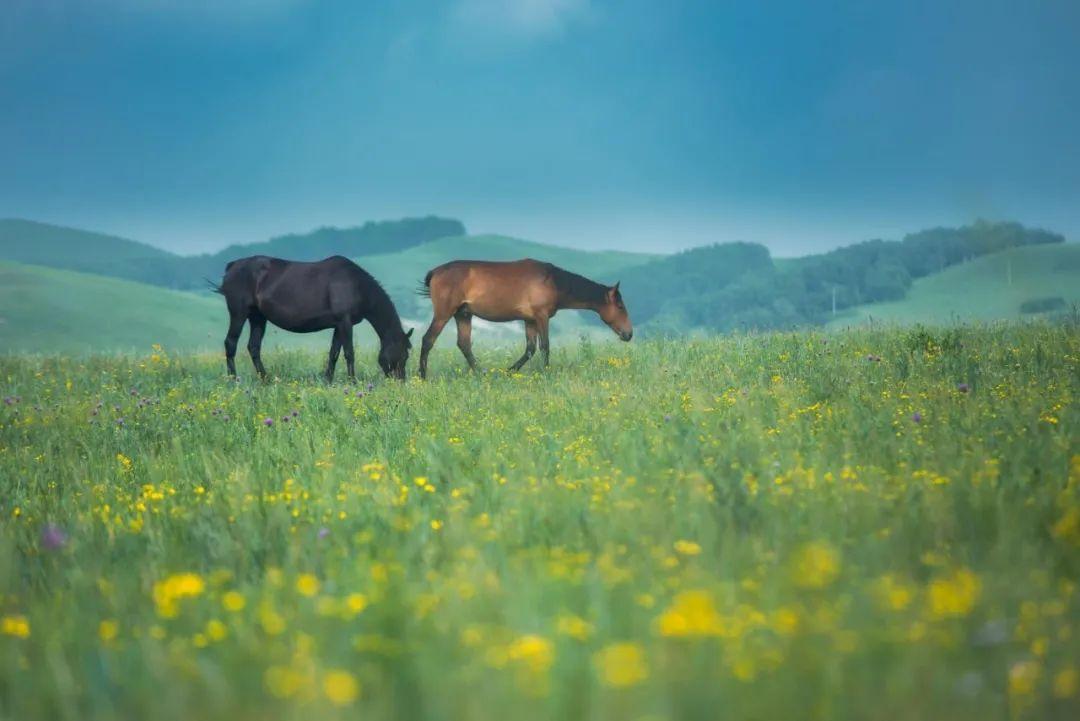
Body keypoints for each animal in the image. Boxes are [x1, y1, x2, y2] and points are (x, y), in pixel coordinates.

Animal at [214, 254, 412, 379]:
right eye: (404, 354)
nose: (400, 381)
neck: (356, 285)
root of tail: (232, 266)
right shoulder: (345, 322)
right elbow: (349, 353)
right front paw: (352, 381)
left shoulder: (338, 325)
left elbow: (334, 354)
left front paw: (328, 380)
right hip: (239, 314)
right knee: (230, 343)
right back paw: (233, 379)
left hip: (258, 317)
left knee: (253, 347)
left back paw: (265, 379)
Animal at [414, 260, 630, 382]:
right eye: (620, 306)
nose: (629, 334)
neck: (553, 280)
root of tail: (435, 272)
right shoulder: (541, 317)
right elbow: (545, 347)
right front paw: (546, 373)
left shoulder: (530, 320)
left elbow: (530, 349)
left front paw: (509, 372)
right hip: (444, 314)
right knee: (428, 340)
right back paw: (422, 377)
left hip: (463, 315)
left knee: (464, 344)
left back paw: (482, 373)